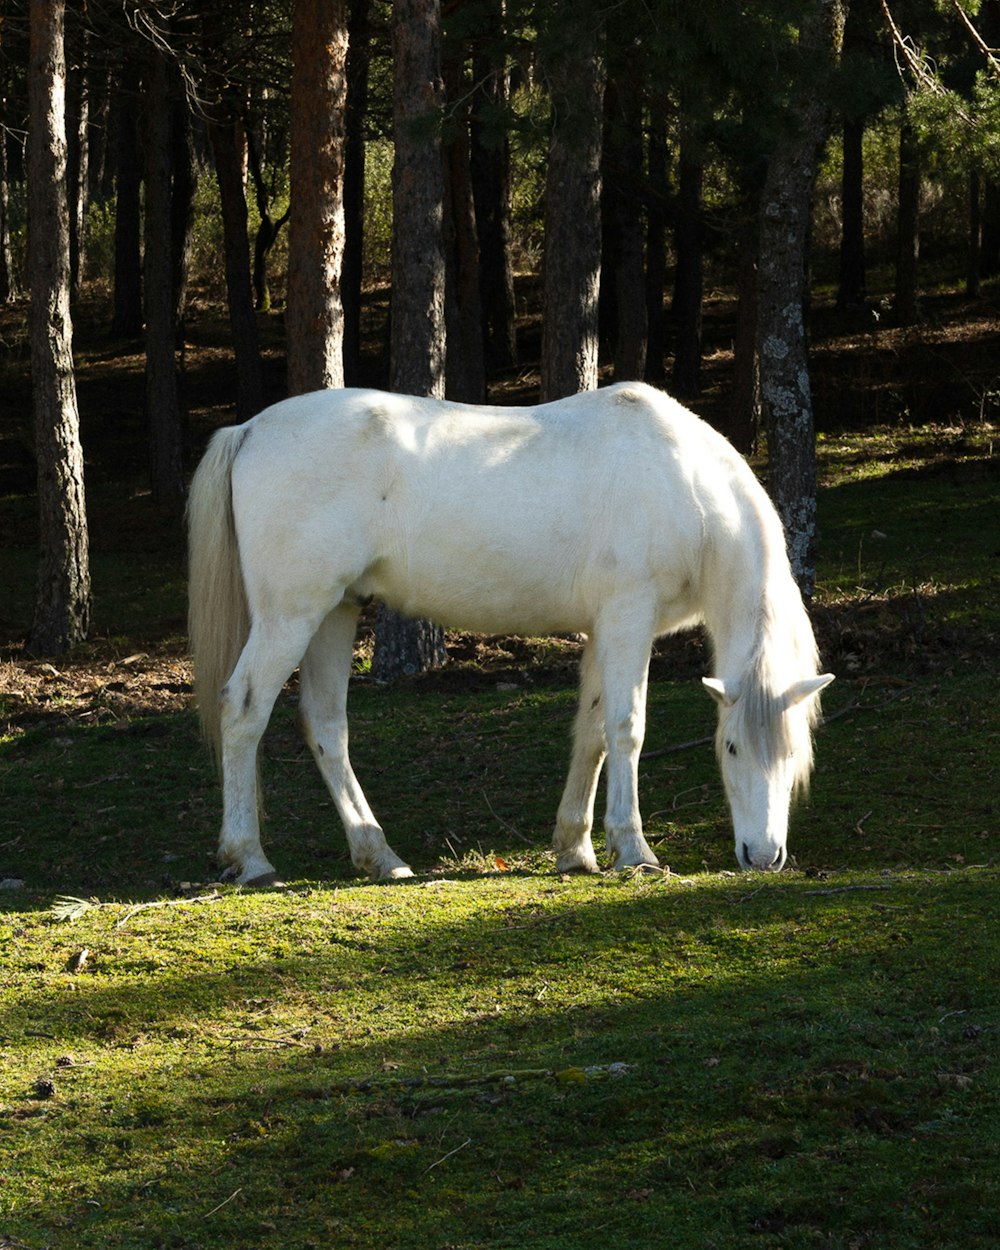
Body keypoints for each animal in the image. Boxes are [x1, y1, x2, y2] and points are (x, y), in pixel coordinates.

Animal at [185, 385, 830, 885]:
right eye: (731, 748)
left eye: (792, 752)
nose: (763, 856)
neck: (685, 485)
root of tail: (250, 430)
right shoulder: (629, 618)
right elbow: (626, 730)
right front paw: (634, 851)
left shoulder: (603, 629)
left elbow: (591, 734)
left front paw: (575, 849)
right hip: (291, 615)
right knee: (243, 710)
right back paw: (250, 859)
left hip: (335, 612)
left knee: (325, 725)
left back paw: (380, 855)